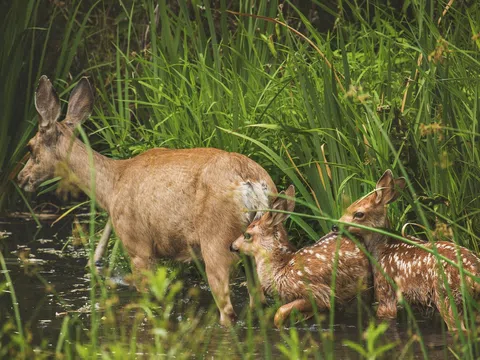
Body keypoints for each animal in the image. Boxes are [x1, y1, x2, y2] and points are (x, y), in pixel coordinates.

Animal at [17, 75, 278, 324]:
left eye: (29, 147)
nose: (21, 178)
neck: (111, 185)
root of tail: (250, 181)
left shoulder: (138, 246)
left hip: (216, 240)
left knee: (228, 311)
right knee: (260, 302)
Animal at [229, 184, 372, 328]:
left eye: (247, 235)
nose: (232, 246)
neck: (281, 270)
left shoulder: (318, 292)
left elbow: (280, 313)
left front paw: (281, 327)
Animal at [338, 170, 480, 330]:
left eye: (359, 214)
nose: (335, 226)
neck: (381, 248)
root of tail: (475, 272)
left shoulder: (385, 291)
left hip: (446, 295)